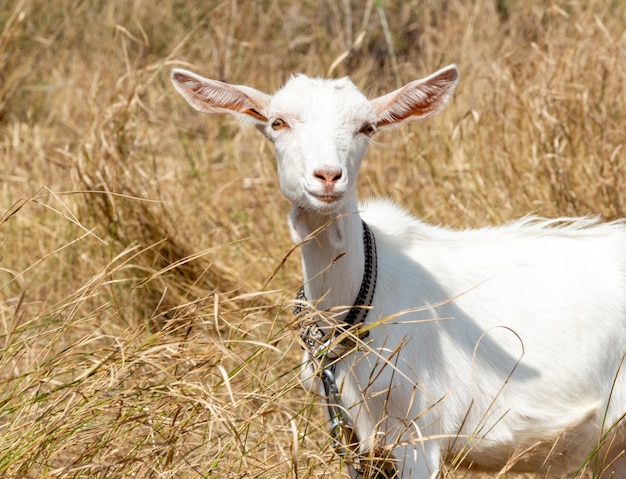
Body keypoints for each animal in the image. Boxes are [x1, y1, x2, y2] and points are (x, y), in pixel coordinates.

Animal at [171, 64, 624, 479]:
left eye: (367, 127)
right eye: (277, 123)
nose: (327, 176)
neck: (360, 299)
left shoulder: (419, 433)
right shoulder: (359, 436)